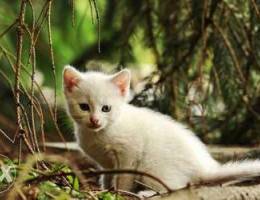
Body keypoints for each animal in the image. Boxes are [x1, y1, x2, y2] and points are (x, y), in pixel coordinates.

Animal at [63, 65, 260, 192]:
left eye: (106, 108)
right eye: (84, 107)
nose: (94, 120)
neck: (99, 134)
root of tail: (204, 167)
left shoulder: (129, 154)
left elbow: (124, 178)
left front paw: (119, 193)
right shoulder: (107, 164)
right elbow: (108, 176)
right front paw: (105, 189)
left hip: (152, 167)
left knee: (174, 188)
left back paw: (147, 194)